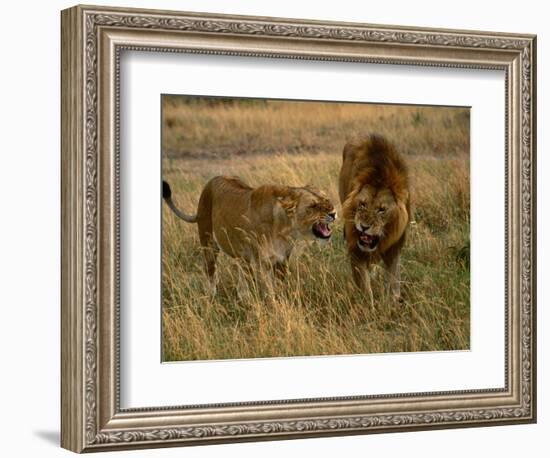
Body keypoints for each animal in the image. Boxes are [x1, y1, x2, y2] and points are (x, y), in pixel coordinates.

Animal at [162, 176, 338, 290]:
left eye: (327, 200)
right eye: (313, 206)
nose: (334, 213)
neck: (285, 229)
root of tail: (212, 180)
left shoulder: (282, 260)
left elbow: (280, 289)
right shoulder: (263, 263)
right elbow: (269, 292)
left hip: (242, 257)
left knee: (243, 278)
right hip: (208, 244)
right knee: (211, 275)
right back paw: (211, 300)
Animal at [338, 134, 412, 302]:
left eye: (381, 210)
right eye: (362, 204)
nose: (364, 227)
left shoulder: (394, 247)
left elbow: (393, 281)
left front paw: (392, 303)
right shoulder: (355, 246)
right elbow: (365, 287)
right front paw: (368, 306)